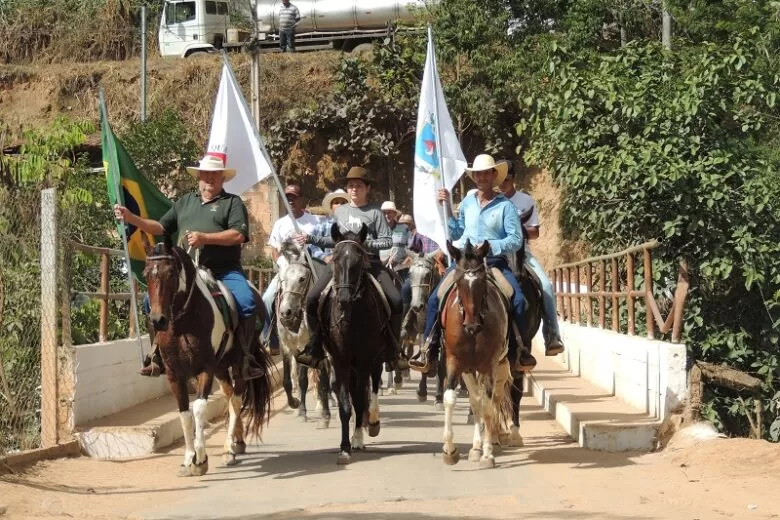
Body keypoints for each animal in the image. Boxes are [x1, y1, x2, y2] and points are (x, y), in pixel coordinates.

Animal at [143, 236, 274, 476]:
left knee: (236, 398)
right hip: (221, 368)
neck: (183, 322)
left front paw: (200, 460)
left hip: (238, 365)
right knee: (229, 395)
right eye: (147, 273)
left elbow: (198, 409)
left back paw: (229, 449)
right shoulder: (175, 374)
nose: (158, 320)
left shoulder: (205, 369)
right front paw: (188, 459)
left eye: (171, 273)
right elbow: (185, 414)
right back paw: (237, 441)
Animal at [442, 240, 516, 468]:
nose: (472, 326)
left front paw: (488, 453)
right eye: (459, 281)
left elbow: (489, 406)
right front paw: (450, 450)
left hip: (500, 365)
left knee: (494, 400)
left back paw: (492, 441)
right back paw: (476, 447)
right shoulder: (456, 363)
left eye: (482, 281)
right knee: (477, 401)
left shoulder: (490, 365)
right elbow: (454, 399)